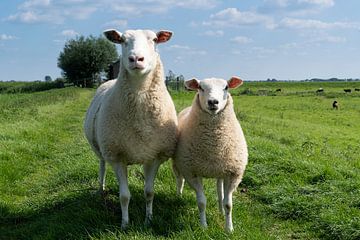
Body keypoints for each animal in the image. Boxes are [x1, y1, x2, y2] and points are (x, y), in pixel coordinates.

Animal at [84, 28, 180, 229]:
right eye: (122, 40)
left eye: (154, 40)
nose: (136, 59)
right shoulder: (117, 157)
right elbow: (124, 196)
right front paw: (125, 224)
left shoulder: (154, 156)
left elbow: (149, 192)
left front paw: (148, 219)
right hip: (102, 149)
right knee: (102, 166)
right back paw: (101, 189)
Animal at [174, 77, 248, 232]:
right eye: (200, 87)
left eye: (226, 87)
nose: (213, 102)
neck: (213, 146)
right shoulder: (193, 173)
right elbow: (201, 202)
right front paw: (203, 227)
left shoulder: (233, 174)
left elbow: (228, 204)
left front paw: (229, 229)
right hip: (178, 165)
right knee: (179, 180)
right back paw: (179, 195)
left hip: (220, 170)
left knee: (220, 191)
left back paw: (220, 210)